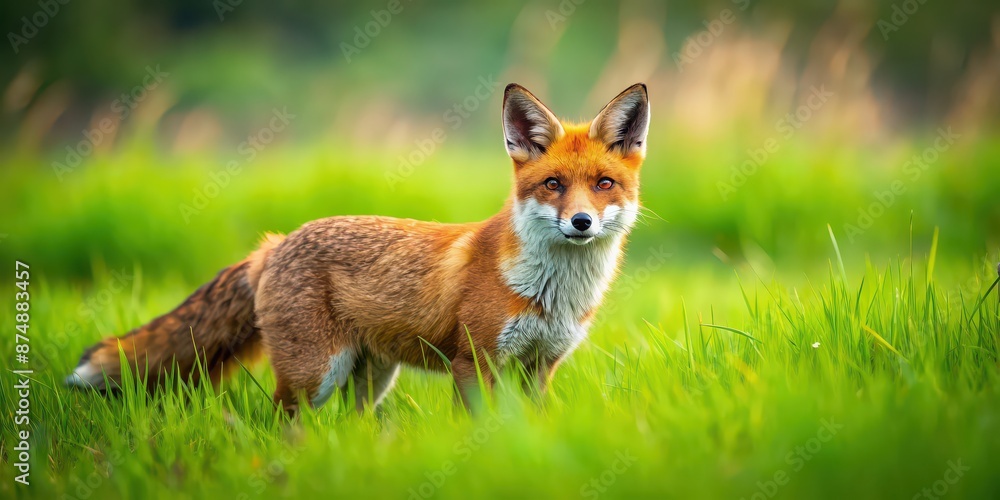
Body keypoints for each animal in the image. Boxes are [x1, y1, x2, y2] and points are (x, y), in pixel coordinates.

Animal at [66, 82, 651, 414]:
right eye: (553, 184)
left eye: (603, 184)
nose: (580, 222)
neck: (552, 291)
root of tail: (274, 245)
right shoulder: (473, 362)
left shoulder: (540, 367)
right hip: (315, 374)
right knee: (279, 423)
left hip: (370, 377)